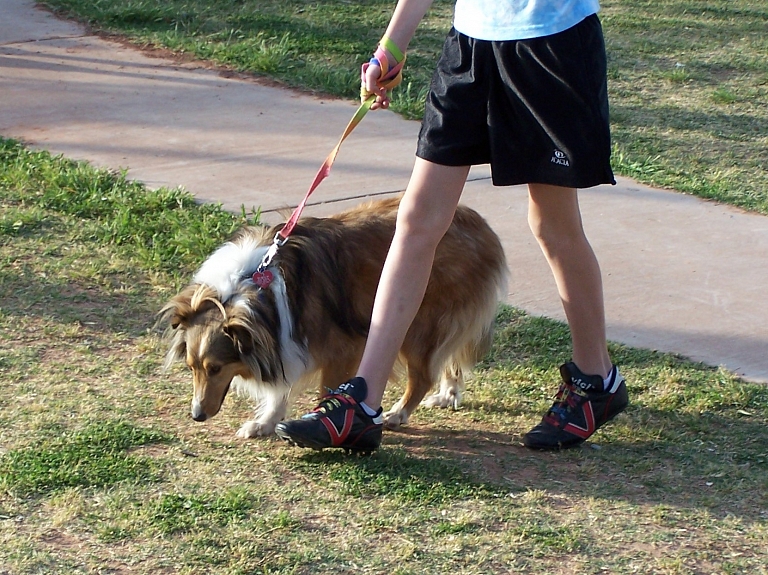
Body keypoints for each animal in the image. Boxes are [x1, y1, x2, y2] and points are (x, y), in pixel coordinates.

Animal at [160, 196, 510, 438]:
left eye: (215, 368)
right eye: (191, 367)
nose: (197, 415)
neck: (252, 290)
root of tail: (480, 225)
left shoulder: (342, 347)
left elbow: (325, 389)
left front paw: (323, 421)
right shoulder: (286, 342)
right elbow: (281, 388)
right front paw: (265, 422)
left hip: (418, 322)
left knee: (424, 375)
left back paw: (399, 413)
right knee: (448, 357)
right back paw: (448, 393)